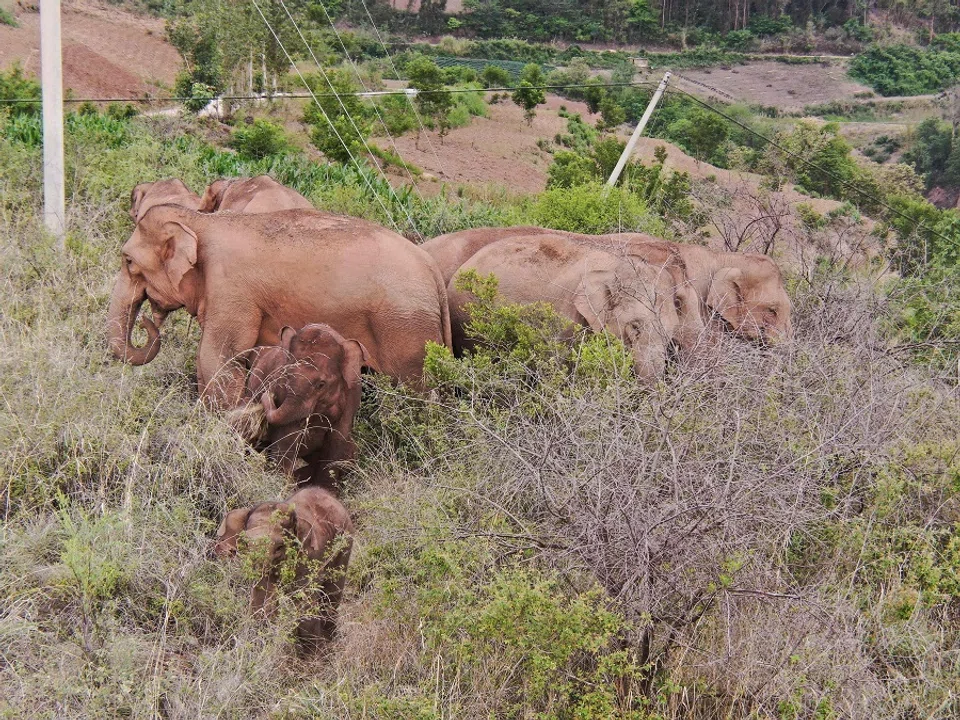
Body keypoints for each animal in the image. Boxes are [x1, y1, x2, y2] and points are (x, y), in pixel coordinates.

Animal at [106, 205, 452, 406]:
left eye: (128, 261)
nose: (147, 323)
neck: (202, 222)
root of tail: (432, 270)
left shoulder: (232, 289)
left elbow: (216, 357)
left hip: (405, 331)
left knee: (414, 394)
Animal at [214, 486, 353, 650]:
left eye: (280, 547)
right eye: (246, 544)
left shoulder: (309, 555)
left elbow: (304, 601)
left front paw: (314, 651)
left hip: (345, 542)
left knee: (332, 592)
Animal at [244, 324, 367, 486]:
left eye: (321, 384)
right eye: (286, 374)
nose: (268, 393)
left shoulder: (351, 398)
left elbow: (336, 445)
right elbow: (287, 439)